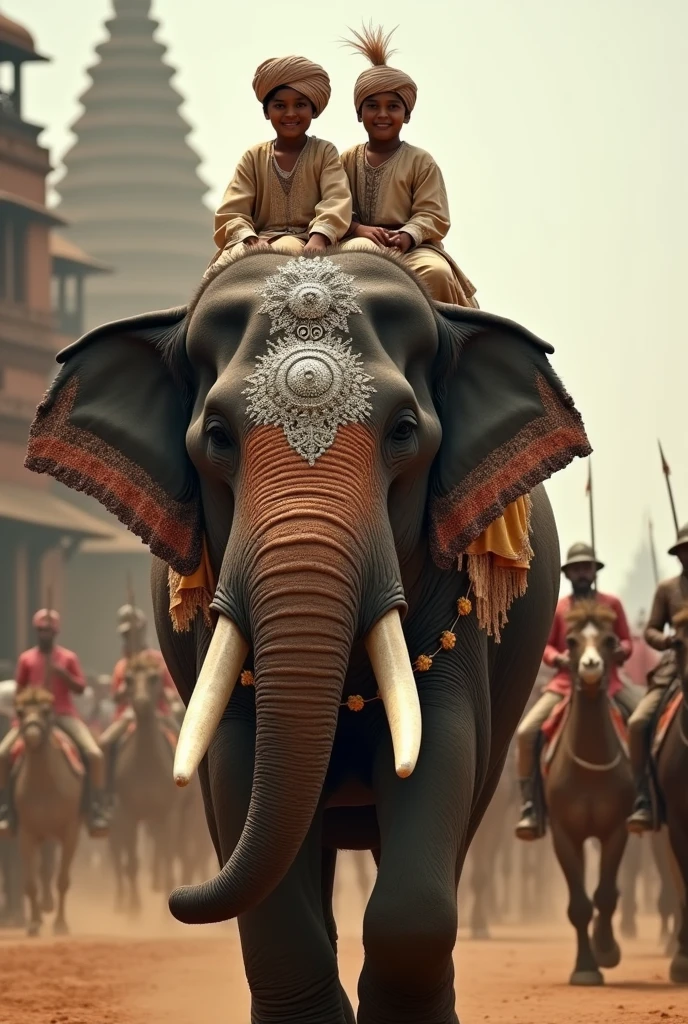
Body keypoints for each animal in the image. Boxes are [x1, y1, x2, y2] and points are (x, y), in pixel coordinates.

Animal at [12, 688, 84, 937]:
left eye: (46, 711)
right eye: (20, 712)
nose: (32, 734)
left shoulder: (70, 831)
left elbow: (62, 880)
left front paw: (60, 924)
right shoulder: (26, 832)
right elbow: (30, 882)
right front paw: (34, 923)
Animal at [108, 651, 180, 917]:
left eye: (153, 678)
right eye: (128, 679)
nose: (140, 702)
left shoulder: (168, 813)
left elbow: (168, 856)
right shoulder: (128, 814)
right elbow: (132, 864)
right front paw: (134, 910)